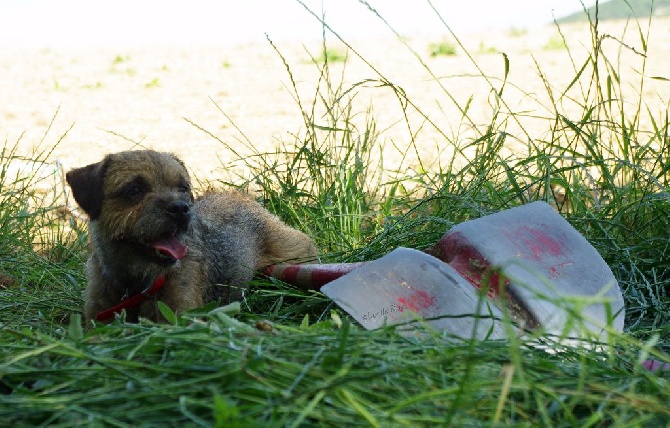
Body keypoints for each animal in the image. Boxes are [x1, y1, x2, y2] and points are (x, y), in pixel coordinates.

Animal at [67, 150, 318, 324]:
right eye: (134, 190)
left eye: (183, 188)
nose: (181, 209)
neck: (135, 284)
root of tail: (245, 198)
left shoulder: (180, 314)